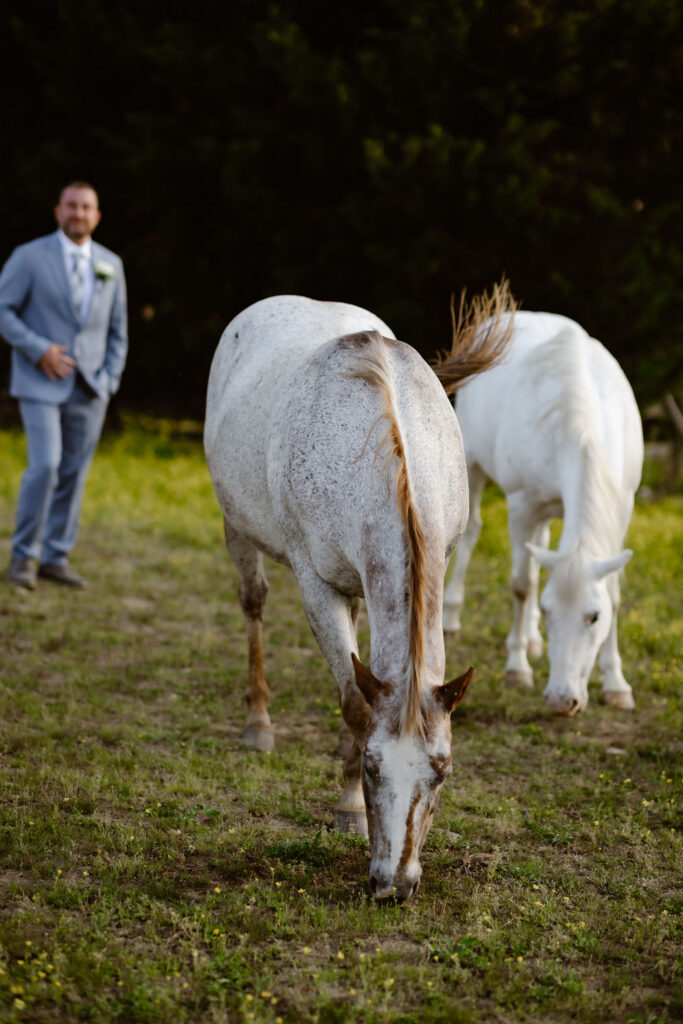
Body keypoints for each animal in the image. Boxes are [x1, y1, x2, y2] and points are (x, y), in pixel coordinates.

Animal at [204, 291, 511, 900]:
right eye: (372, 767)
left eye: (442, 771)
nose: (394, 886)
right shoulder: (316, 584)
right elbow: (353, 702)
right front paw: (349, 808)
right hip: (238, 528)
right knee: (253, 604)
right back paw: (258, 724)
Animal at [442, 308, 643, 716]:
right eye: (551, 611)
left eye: (594, 616)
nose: (561, 700)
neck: (580, 429)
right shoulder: (522, 504)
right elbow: (522, 585)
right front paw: (517, 667)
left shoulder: (622, 506)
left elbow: (613, 592)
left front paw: (616, 683)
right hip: (471, 461)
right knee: (471, 532)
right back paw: (452, 617)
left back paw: (532, 637)